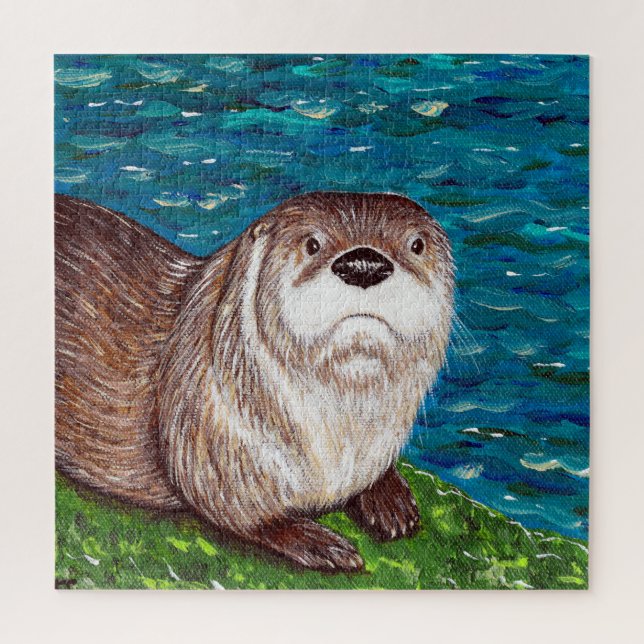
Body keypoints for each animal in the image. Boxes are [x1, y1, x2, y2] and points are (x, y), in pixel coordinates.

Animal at [55, 191, 454, 572]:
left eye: (416, 245)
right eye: (312, 244)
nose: (364, 265)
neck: (342, 448)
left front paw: (390, 499)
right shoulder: (207, 443)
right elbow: (238, 513)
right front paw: (316, 542)